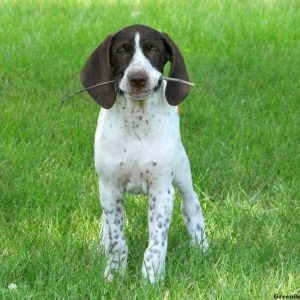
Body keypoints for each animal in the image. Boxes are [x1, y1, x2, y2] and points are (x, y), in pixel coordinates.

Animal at [81, 24, 210, 284]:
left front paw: (152, 280)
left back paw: (201, 245)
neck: (137, 121)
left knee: (191, 203)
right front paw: (114, 273)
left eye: (153, 50)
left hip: (182, 172)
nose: (138, 78)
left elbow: (156, 245)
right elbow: (116, 239)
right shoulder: (110, 187)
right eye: (122, 51)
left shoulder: (162, 190)